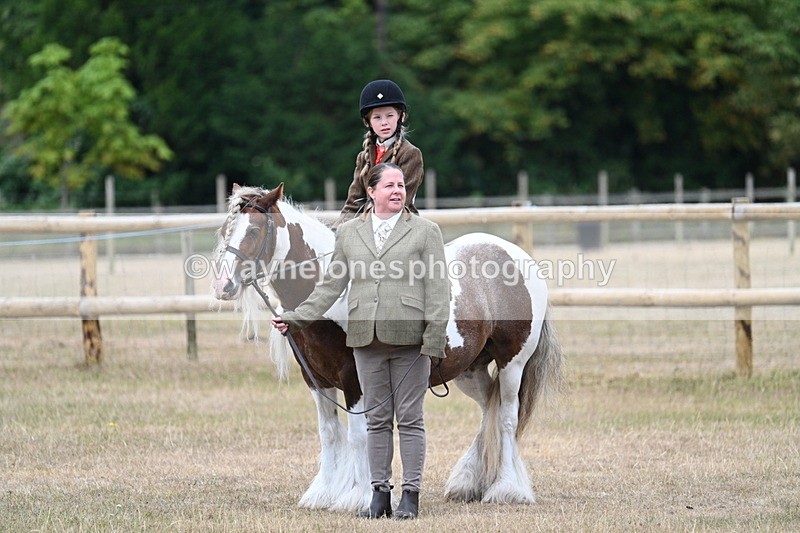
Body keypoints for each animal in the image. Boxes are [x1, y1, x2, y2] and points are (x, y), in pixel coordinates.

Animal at [211, 183, 564, 511]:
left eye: (254, 230)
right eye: (225, 230)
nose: (222, 286)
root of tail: (517, 257)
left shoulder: (353, 377)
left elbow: (357, 435)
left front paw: (357, 497)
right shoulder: (316, 379)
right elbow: (329, 432)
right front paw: (323, 493)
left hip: (512, 364)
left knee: (506, 417)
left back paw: (507, 489)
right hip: (470, 370)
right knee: (488, 408)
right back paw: (468, 482)